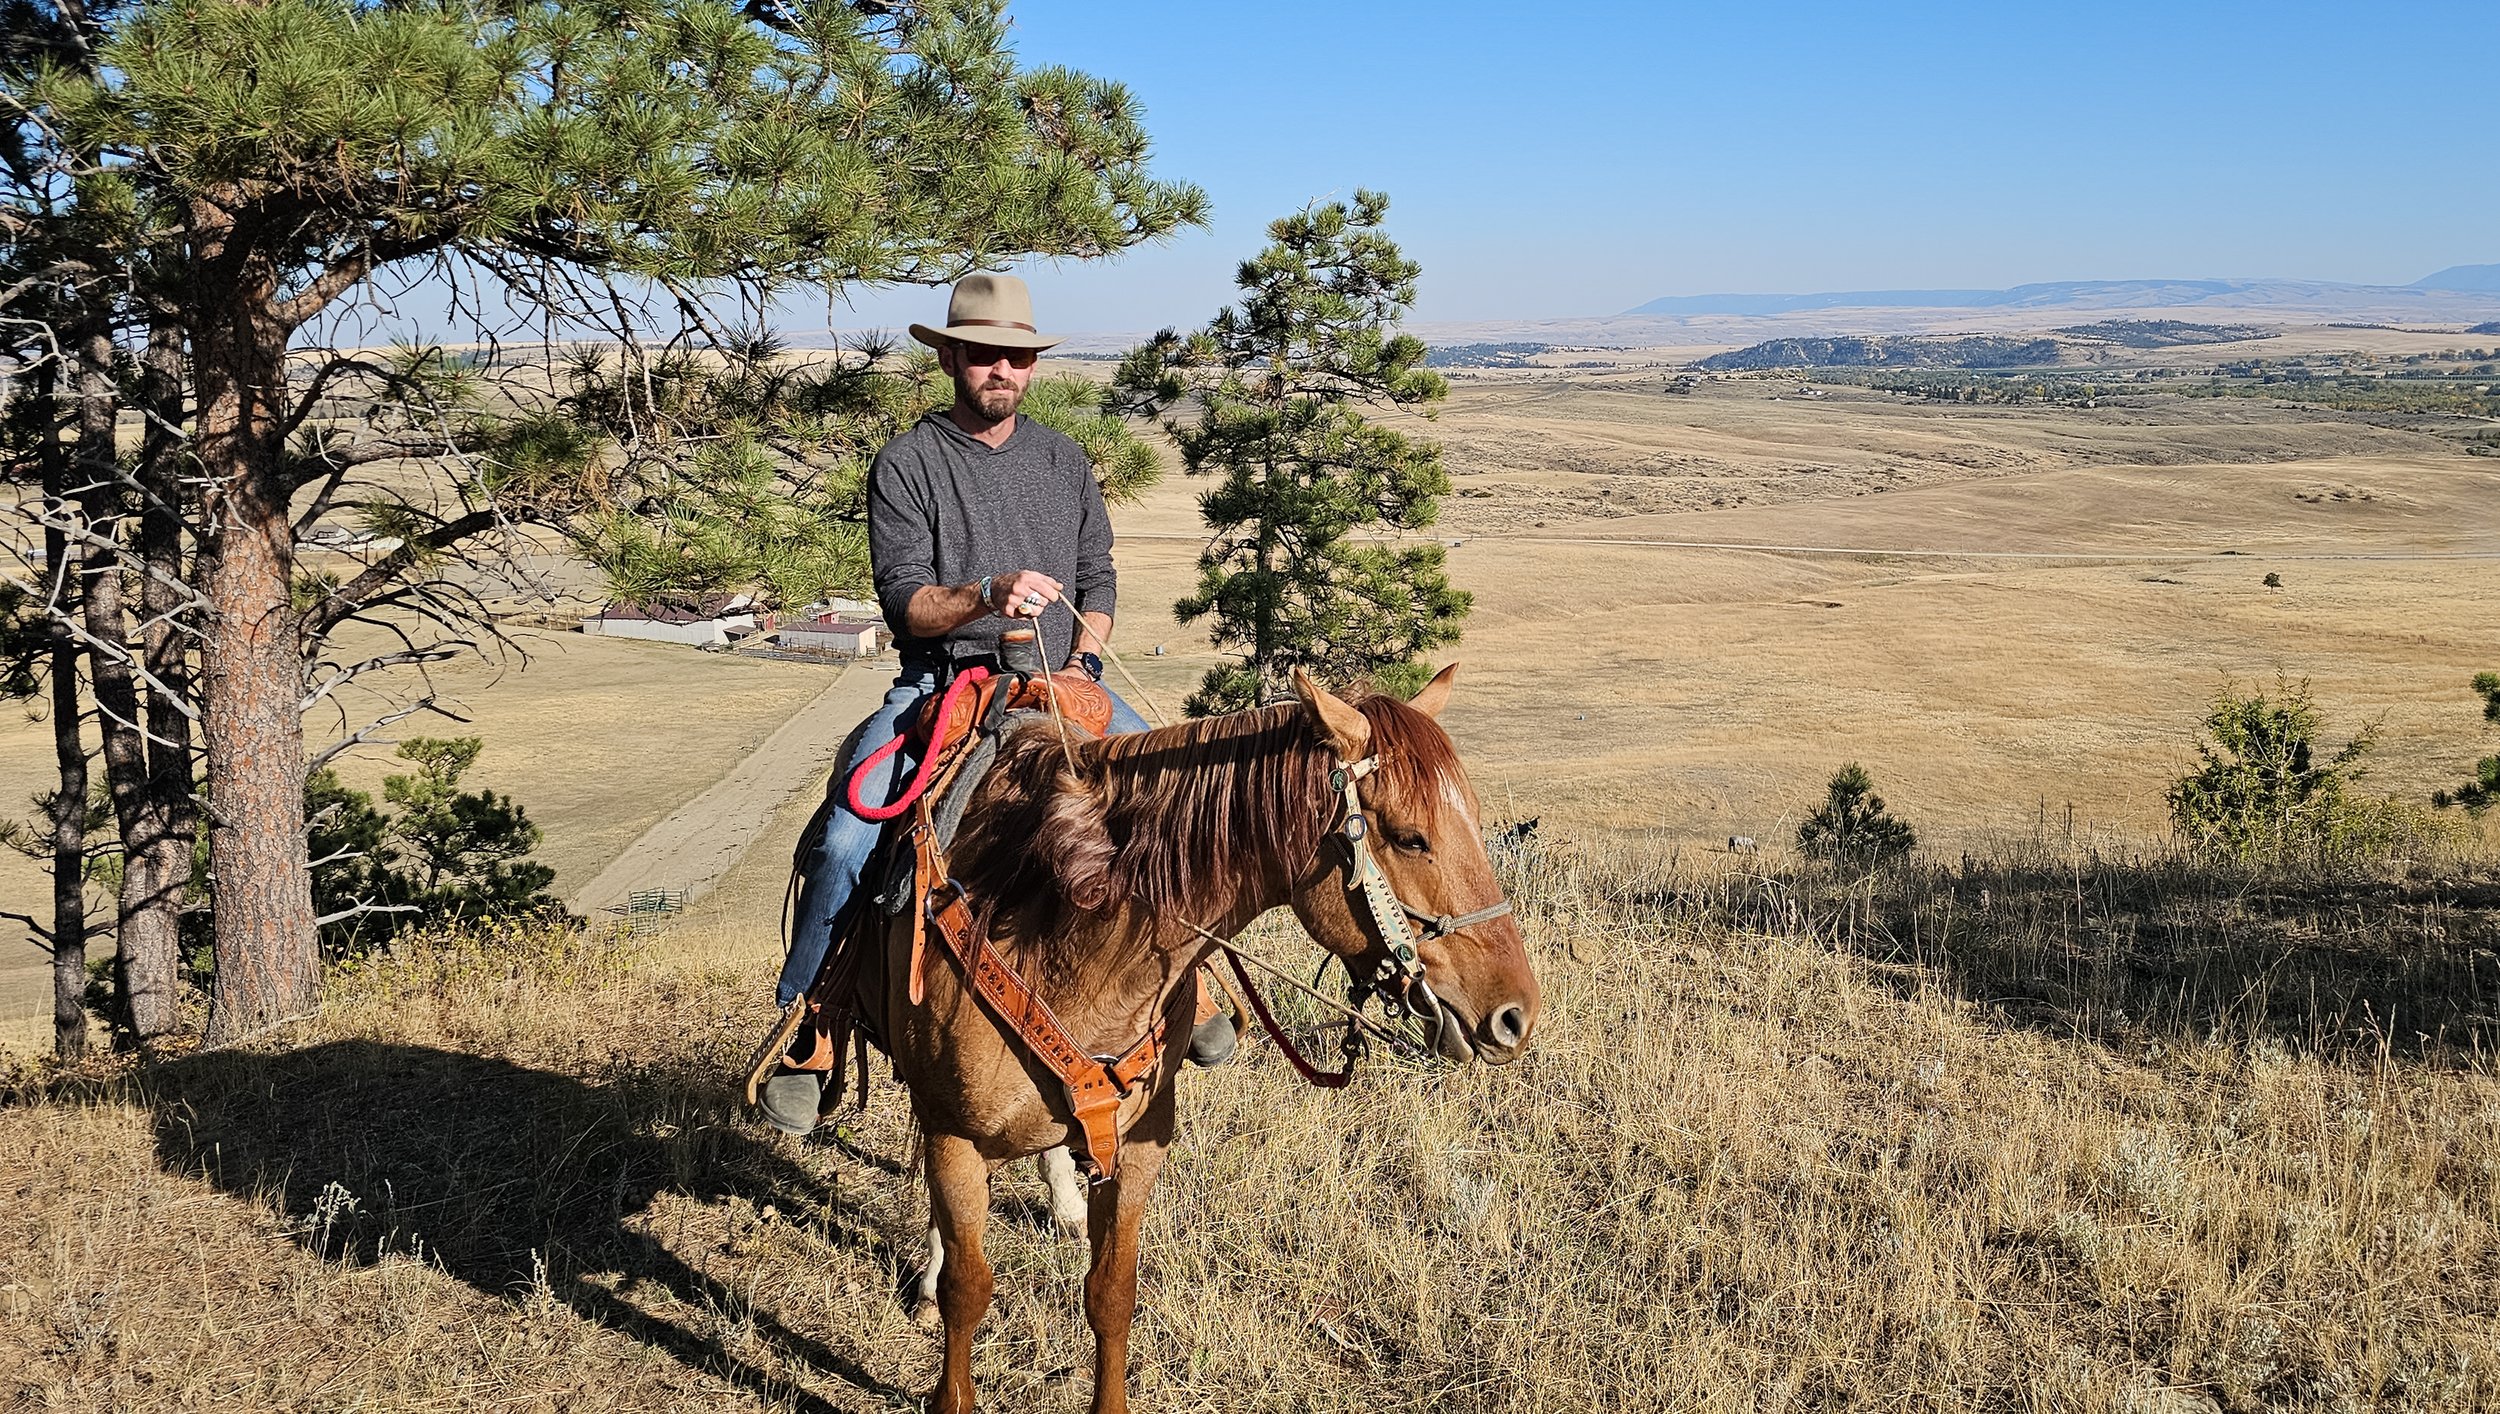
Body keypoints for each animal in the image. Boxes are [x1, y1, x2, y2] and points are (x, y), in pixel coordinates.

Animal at [872, 663, 1539, 1414]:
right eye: (1409, 837)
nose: (1516, 1015)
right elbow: (968, 1291)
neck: (1062, 934)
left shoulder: (1138, 1144)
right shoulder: (952, 1133)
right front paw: (944, 1320)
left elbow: (1111, 1293)